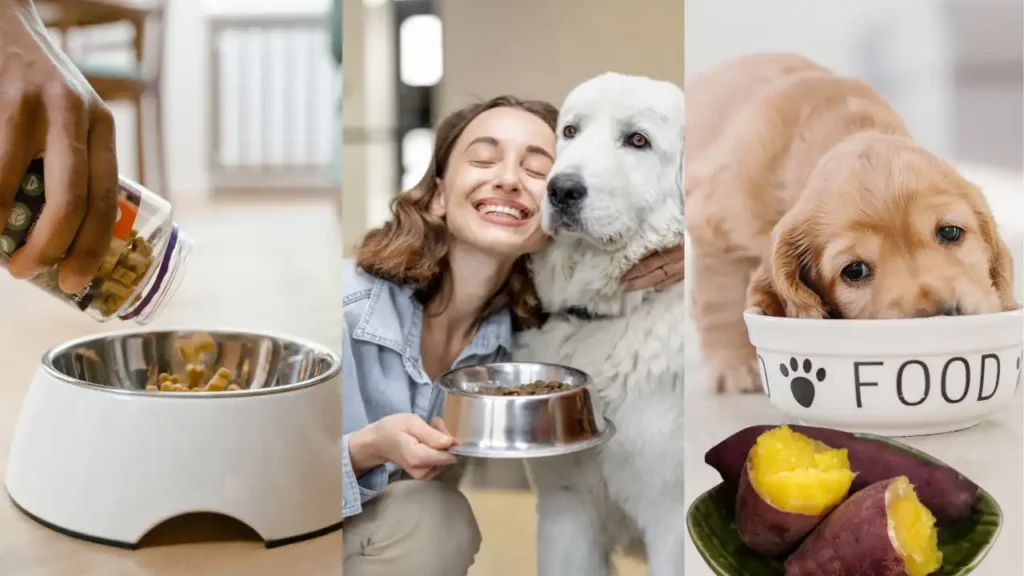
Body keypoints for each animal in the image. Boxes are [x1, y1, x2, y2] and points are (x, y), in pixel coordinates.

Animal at [679, 53, 1015, 391]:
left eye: (950, 232)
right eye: (855, 270)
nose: (944, 314)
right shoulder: (713, 224)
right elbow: (721, 298)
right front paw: (735, 364)